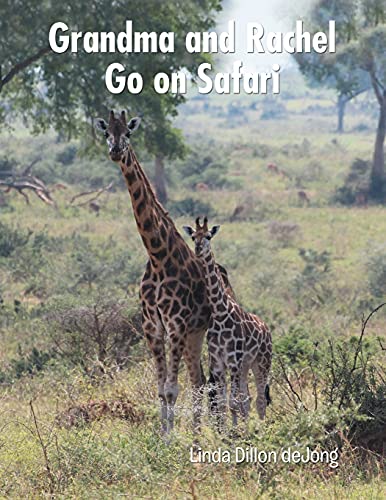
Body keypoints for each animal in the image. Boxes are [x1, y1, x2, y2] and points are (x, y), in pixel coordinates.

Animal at [96, 110, 232, 434]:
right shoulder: (153, 327)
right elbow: (162, 389)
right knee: (199, 381)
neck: (157, 256)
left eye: (128, 133)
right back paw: (199, 434)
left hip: (207, 334)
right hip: (195, 335)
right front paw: (161, 438)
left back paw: (214, 433)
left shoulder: (176, 325)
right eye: (106, 132)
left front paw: (171, 440)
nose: (115, 151)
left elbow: (172, 389)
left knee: (215, 383)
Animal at [183, 217, 272, 428]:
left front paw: (233, 432)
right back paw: (247, 429)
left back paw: (262, 429)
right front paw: (227, 432)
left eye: (208, 236)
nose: (198, 249)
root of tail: (267, 329)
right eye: (193, 237)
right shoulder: (218, 363)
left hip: (262, 362)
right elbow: (223, 403)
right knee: (248, 399)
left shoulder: (233, 361)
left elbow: (232, 402)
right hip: (247, 365)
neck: (220, 313)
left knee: (260, 399)